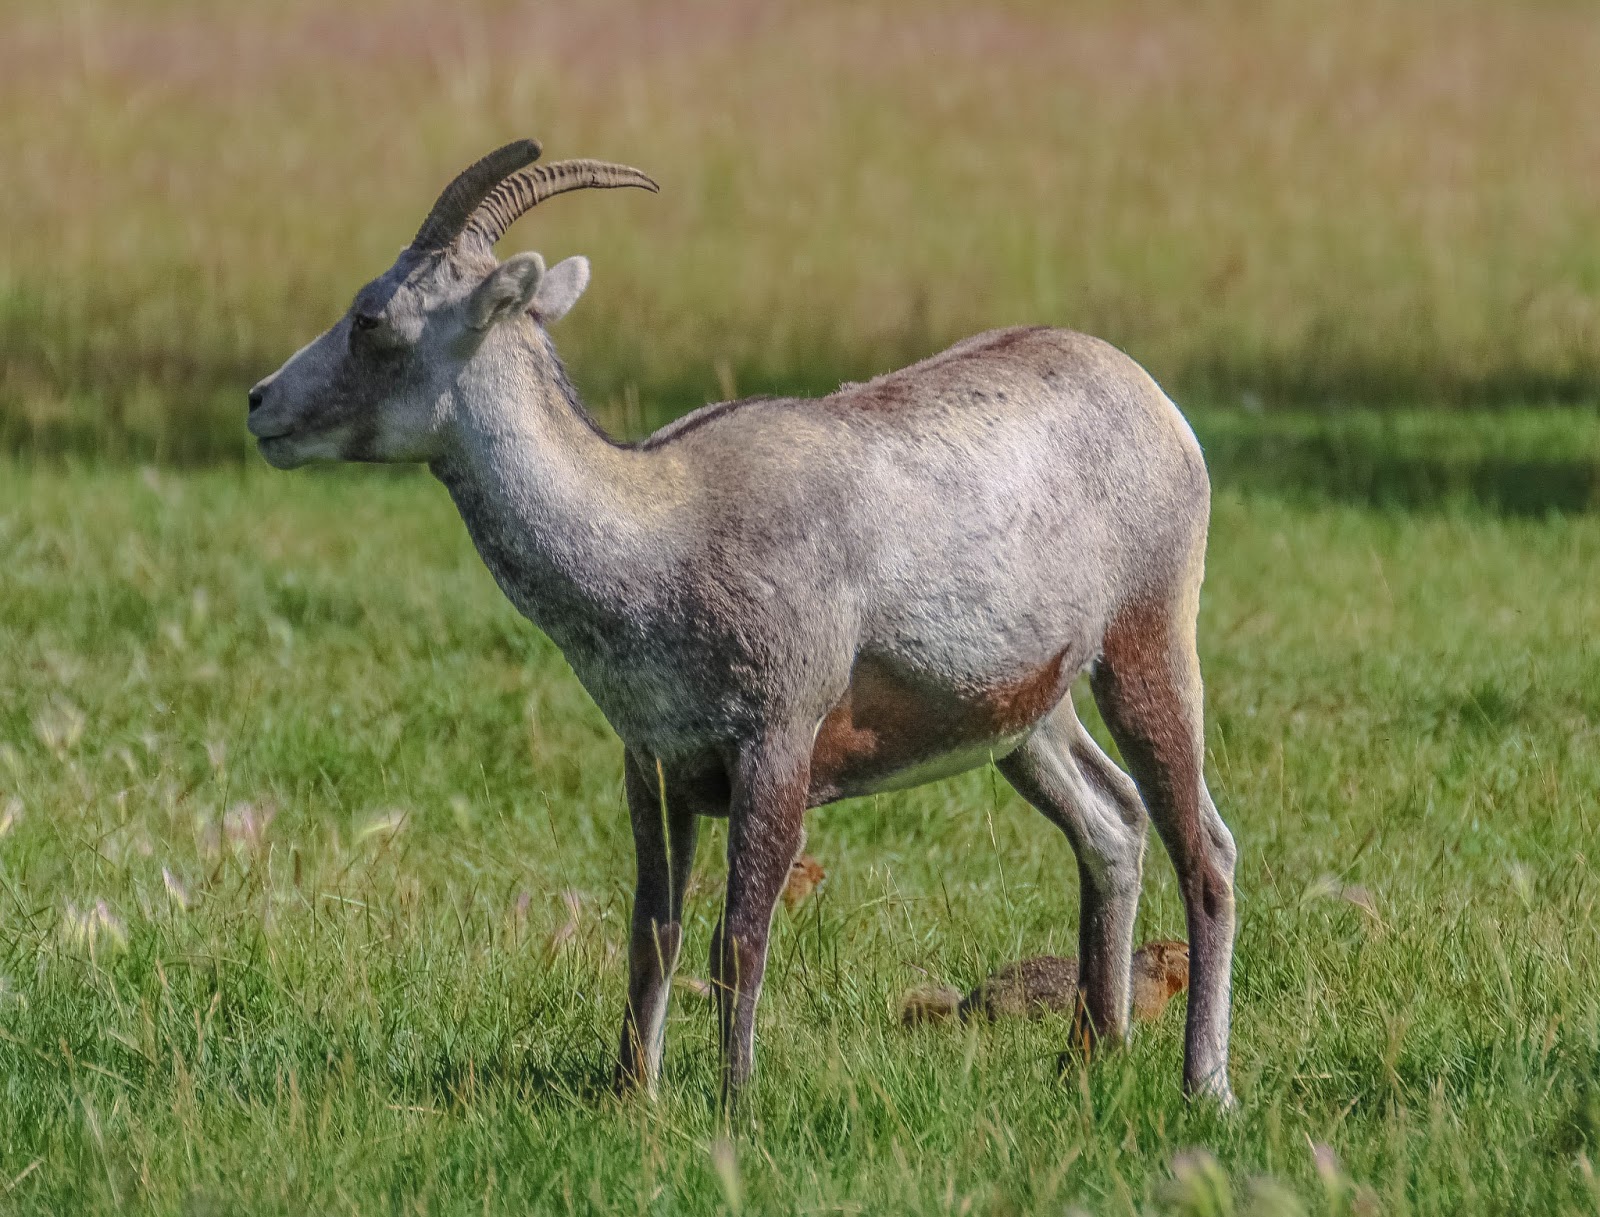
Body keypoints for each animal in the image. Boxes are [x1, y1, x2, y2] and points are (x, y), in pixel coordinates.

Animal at [247, 139, 1238, 1106]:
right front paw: (632, 1095)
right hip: (1029, 721)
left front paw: (735, 1103)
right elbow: (653, 931)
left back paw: (1204, 1087)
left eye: (372, 318)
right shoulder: (653, 764)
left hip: (1147, 647)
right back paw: (1086, 1060)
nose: (260, 403)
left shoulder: (775, 745)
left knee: (1208, 852)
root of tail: (1157, 405)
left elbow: (739, 938)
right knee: (1111, 824)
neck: (660, 533)